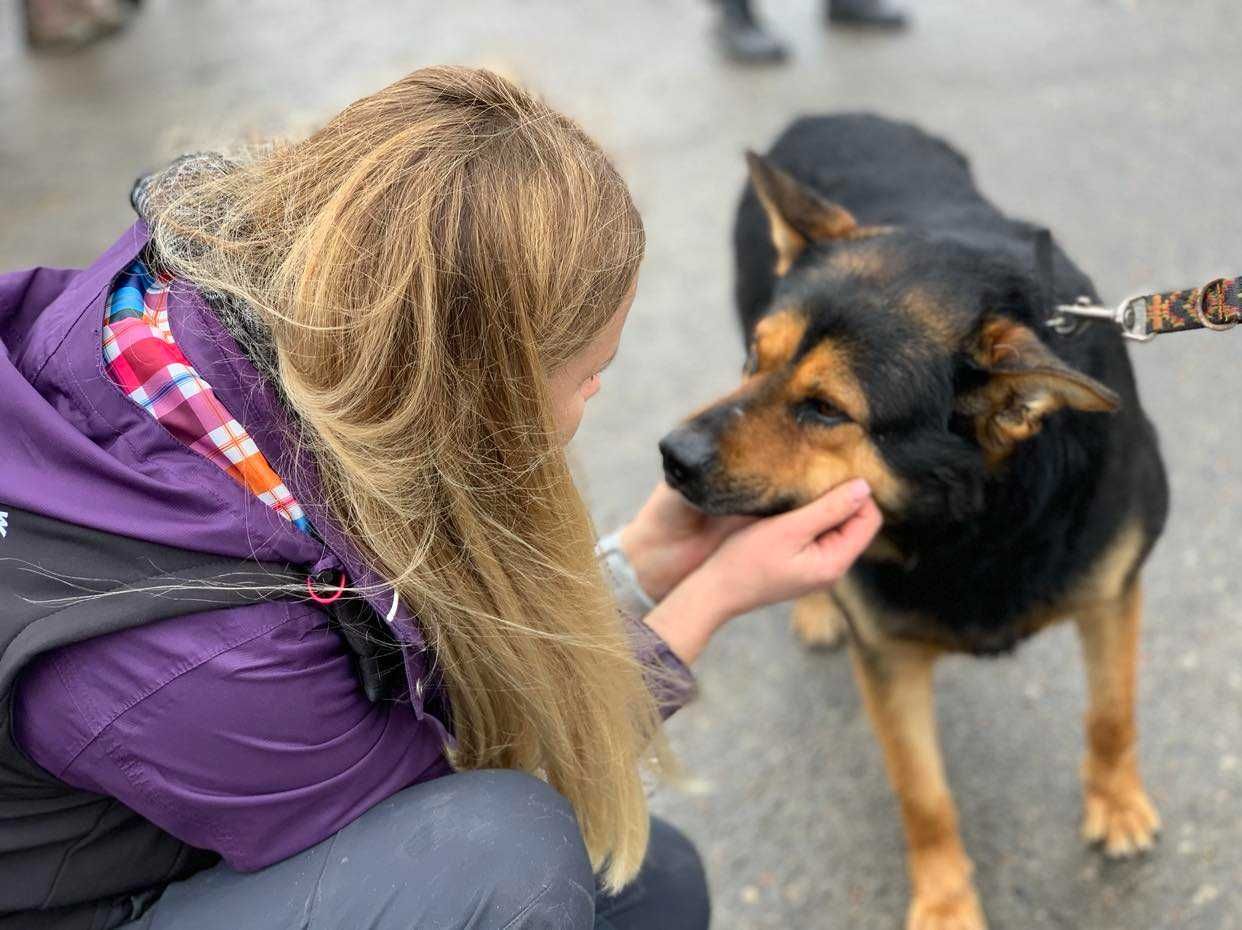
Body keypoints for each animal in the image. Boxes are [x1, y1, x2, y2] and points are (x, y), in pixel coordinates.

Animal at [665, 117, 1167, 928]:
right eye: (754, 359)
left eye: (825, 409)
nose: (671, 458)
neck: (976, 527)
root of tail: (822, 115)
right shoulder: (889, 656)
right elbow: (924, 796)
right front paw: (944, 904)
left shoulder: (1112, 591)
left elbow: (1112, 712)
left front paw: (1117, 805)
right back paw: (817, 607)